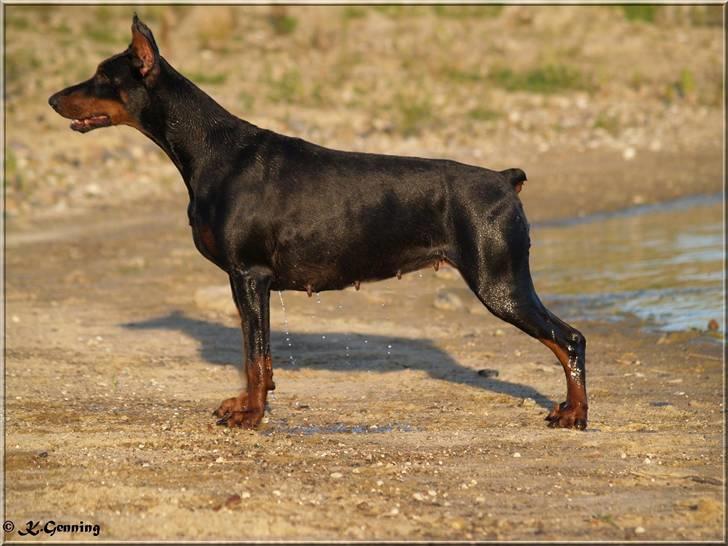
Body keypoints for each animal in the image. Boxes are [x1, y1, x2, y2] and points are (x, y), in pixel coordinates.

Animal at [48, 15, 588, 430]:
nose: (53, 99)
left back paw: (574, 414)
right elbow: (257, 357)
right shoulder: (248, 281)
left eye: (101, 75)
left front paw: (251, 416)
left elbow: (255, 355)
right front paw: (247, 405)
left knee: (570, 340)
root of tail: (504, 179)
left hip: (500, 282)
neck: (209, 149)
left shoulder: (249, 275)